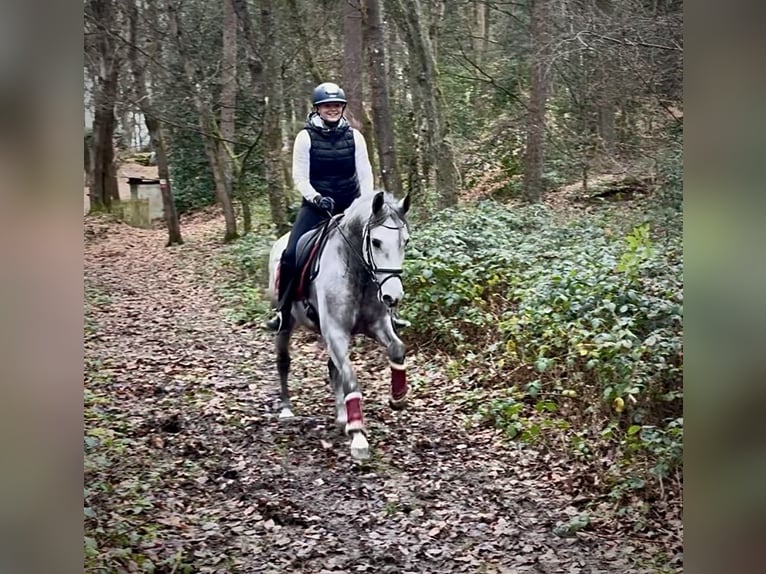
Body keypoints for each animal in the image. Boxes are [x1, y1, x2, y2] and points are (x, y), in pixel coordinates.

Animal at [266, 189, 411, 460]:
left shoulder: (377, 325)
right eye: (376, 242)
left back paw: (342, 415)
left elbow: (397, 349)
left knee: (333, 369)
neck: (357, 271)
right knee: (284, 362)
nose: (393, 296)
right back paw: (287, 409)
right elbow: (351, 377)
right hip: (287, 324)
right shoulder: (335, 332)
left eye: (404, 242)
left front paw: (398, 397)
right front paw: (358, 435)